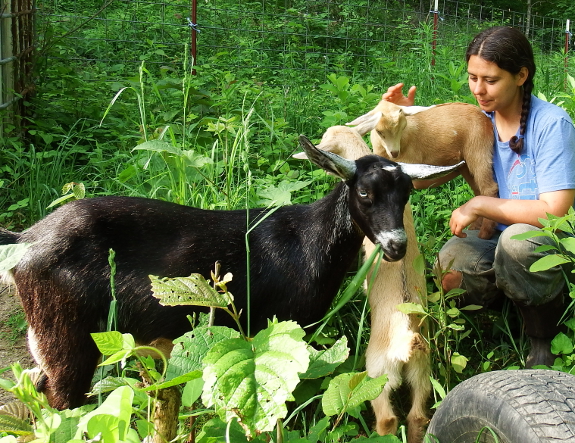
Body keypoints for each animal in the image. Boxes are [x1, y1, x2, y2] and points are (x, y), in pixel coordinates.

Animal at [0, 135, 460, 410]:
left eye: (406, 193)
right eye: (364, 192)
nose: (397, 245)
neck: (306, 241)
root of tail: (24, 241)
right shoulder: (287, 322)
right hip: (65, 333)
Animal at [348, 100, 498, 239]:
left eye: (403, 127)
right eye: (379, 131)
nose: (394, 153)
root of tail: (483, 115)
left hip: (478, 149)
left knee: (489, 188)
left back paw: (484, 233)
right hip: (467, 164)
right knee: (478, 191)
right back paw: (475, 227)